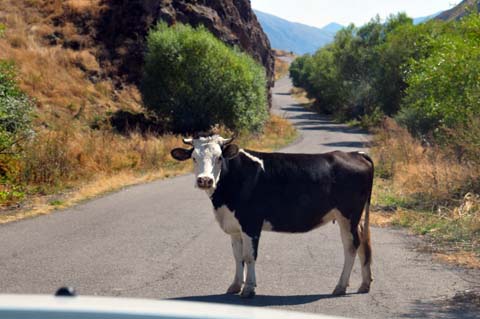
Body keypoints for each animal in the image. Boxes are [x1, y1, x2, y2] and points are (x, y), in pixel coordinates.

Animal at [172, 135, 376, 300]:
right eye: (194, 158)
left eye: (219, 157)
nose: (205, 180)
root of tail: (355, 154)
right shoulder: (235, 227)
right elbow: (237, 256)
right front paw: (235, 285)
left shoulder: (251, 223)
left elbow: (249, 256)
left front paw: (248, 289)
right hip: (351, 219)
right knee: (362, 245)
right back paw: (364, 284)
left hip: (348, 215)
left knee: (351, 247)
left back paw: (340, 287)